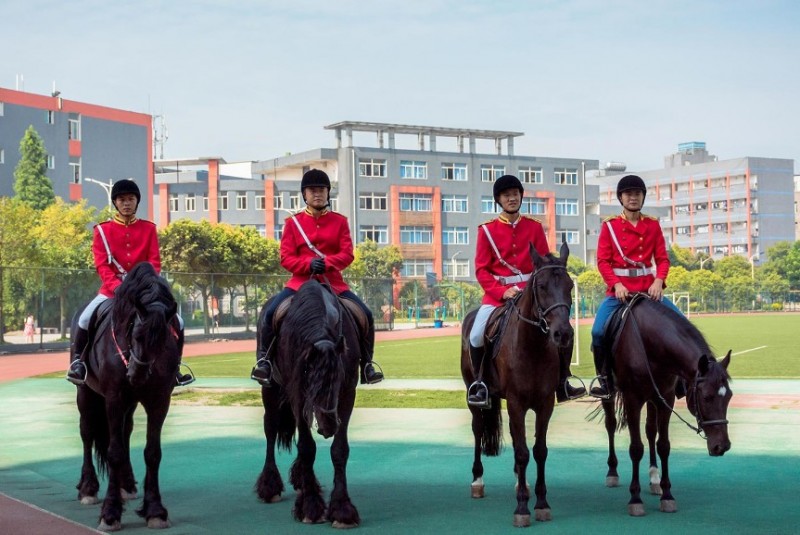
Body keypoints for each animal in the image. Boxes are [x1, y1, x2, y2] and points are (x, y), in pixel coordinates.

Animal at [71, 262, 181, 528]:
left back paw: (127, 484)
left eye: (165, 339)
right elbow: (114, 452)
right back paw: (88, 488)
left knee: (125, 432)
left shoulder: (160, 400)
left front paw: (155, 510)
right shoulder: (113, 399)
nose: (137, 376)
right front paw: (110, 513)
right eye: (137, 335)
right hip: (86, 394)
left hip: (130, 403)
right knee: (87, 433)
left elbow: (152, 452)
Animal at [255, 278, 360, 528]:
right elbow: (306, 447)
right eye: (309, 378)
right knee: (270, 429)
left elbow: (339, 449)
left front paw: (341, 509)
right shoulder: (298, 394)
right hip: (270, 390)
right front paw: (311, 506)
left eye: (339, 377)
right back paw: (270, 485)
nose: (329, 426)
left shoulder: (347, 393)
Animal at [456, 245, 576, 528]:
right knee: (478, 430)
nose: (563, 334)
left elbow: (539, 451)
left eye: (570, 285)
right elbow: (522, 453)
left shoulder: (545, 404)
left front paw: (541, 503)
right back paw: (477, 481)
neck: (532, 346)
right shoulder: (516, 403)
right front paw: (522, 508)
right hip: (474, 397)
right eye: (541, 286)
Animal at [596, 296, 736, 516]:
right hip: (609, 393)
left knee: (650, 431)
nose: (722, 446)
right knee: (610, 424)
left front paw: (667, 494)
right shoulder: (632, 399)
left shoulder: (666, 399)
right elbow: (636, 448)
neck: (651, 344)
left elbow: (663, 445)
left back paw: (654, 478)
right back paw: (612, 472)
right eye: (706, 397)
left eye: (729, 396)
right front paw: (635, 498)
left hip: (654, 398)